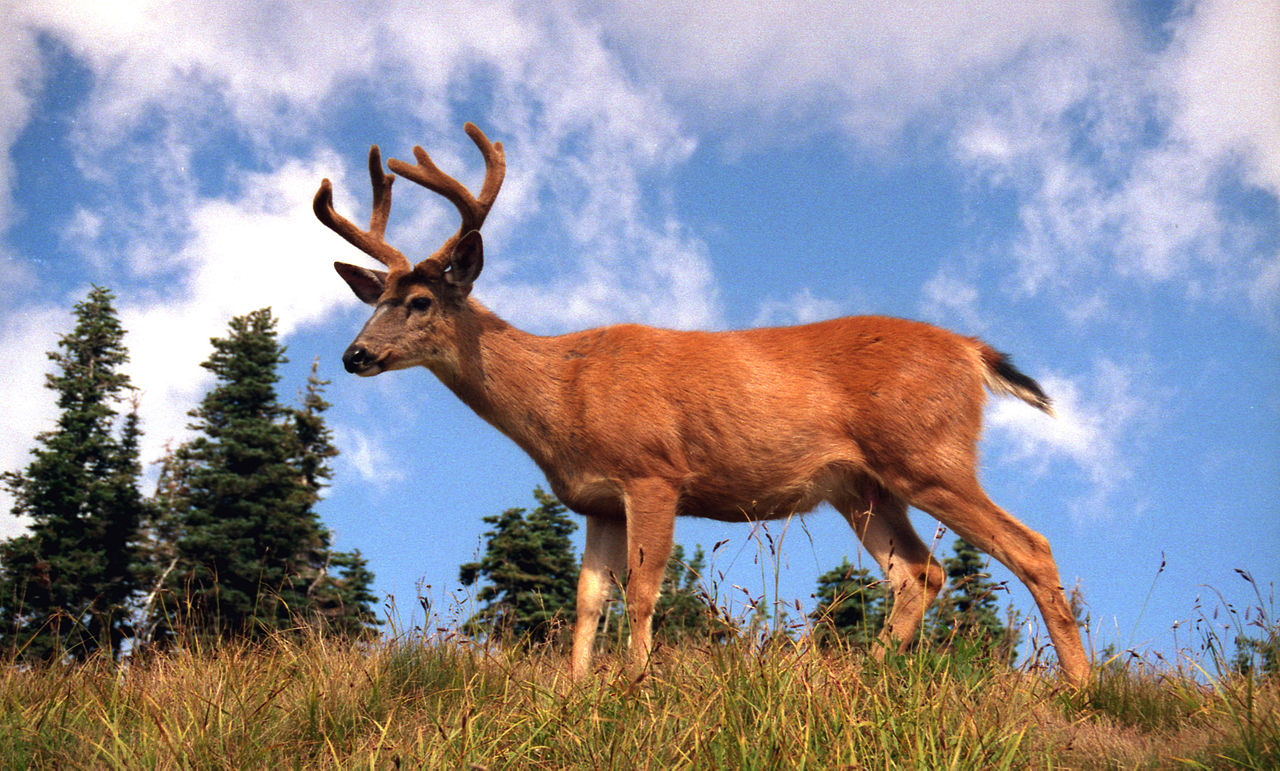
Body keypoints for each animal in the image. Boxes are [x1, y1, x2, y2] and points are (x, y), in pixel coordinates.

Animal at [317, 121, 1090, 686]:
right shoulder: (596, 499)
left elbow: (643, 588)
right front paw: (575, 690)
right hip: (862, 486)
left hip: (927, 451)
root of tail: (971, 351)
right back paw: (861, 677)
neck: (564, 396)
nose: (354, 355)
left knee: (1031, 545)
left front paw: (635, 684)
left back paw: (1080, 686)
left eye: (420, 301)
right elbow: (588, 599)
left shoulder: (653, 471)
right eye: (373, 301)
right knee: (919, 572)